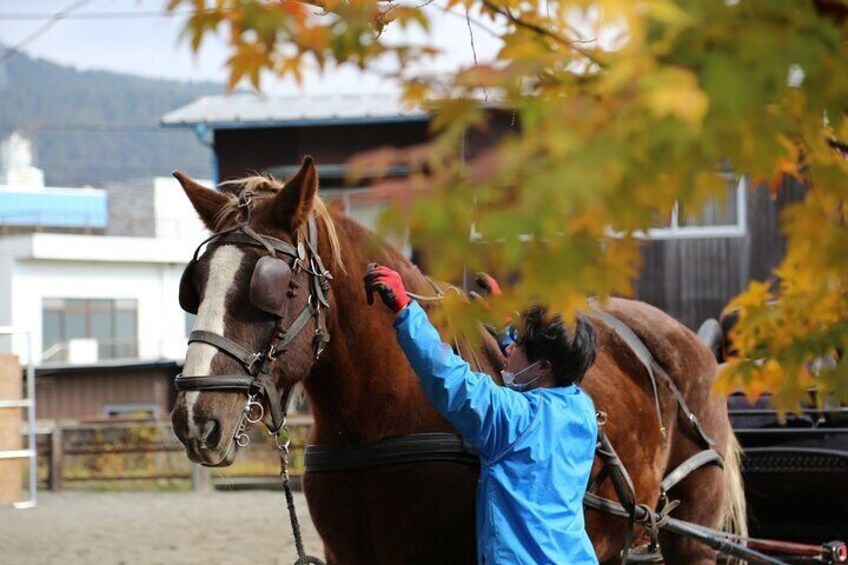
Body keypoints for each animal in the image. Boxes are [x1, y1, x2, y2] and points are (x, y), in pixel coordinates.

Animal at [171, 159, 744, 564]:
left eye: (274, 289)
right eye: (195, 286)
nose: (196, 419)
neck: (376, 419)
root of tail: (687, 338)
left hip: (693, 540)